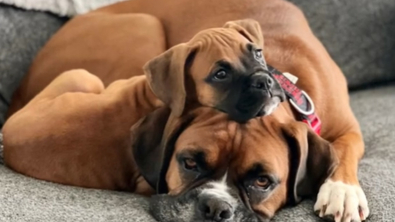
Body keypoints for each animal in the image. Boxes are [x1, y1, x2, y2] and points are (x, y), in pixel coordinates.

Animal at [3, 0, 370, 222]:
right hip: (143, 29)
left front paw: (342, 190)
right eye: (189, 163)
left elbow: (346, 148)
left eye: (263, 181)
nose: (215, 206)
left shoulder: (349, 129)